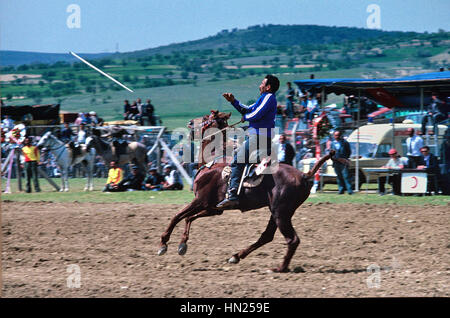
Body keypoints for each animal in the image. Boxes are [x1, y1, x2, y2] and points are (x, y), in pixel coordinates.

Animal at [159, 110, 334, 272]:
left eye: (205, 118)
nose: (189, 122)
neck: (213, 161)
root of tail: (304, 175)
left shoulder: (200, 201)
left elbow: (177, 216)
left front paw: (163, 244)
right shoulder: (213, 208)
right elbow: (188, 218)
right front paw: (182, 245)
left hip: (281, 213)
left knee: (292, 240)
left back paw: (280, 268)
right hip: (278, 212)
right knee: (267, 236)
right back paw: (236, 256)